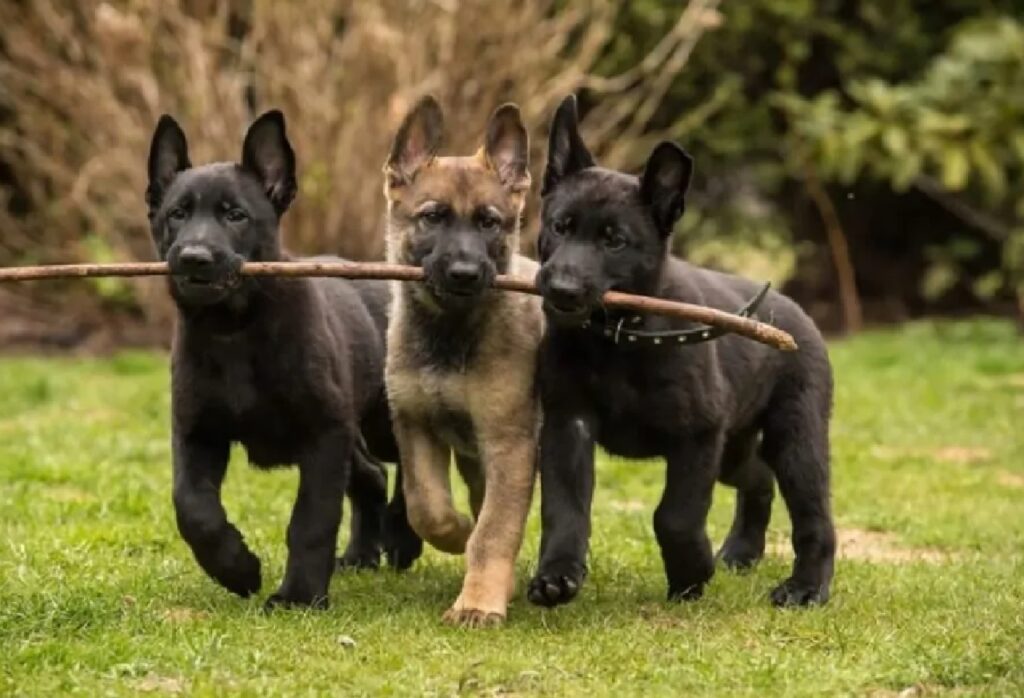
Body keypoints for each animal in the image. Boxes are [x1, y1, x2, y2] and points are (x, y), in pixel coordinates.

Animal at [385, 95, 544, 622]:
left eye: (489, 222)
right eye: (432, 217)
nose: (465, 273)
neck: (449, 333)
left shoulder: (511, 445)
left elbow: (496, 530)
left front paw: (478, 603)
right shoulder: (416, 426)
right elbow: (426, 505)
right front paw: (455, 534)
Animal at [528, 95, 831, 605]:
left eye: (614, 240)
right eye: (560, 227)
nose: (562, 290)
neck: (618, 340)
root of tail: (795, 313)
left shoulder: (698, 437)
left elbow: (675, 515)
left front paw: (691, 572)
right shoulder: (568, 425)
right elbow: (564, 507)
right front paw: (558, 575)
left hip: (795, 438)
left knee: (814, 515)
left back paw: (806, 588)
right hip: (734, 449)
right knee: (758, 478)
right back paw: (741, 551)